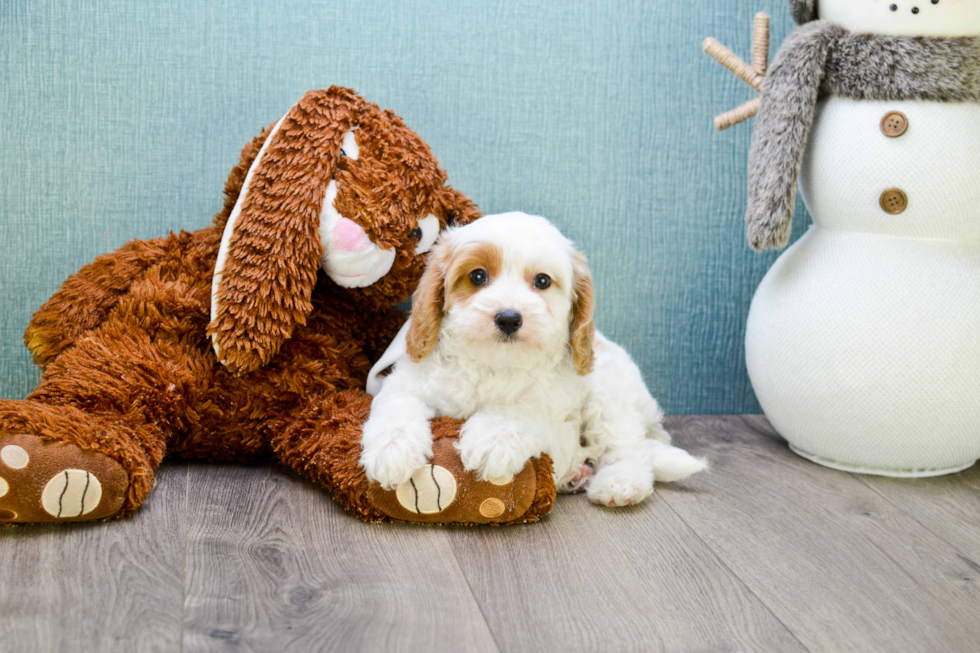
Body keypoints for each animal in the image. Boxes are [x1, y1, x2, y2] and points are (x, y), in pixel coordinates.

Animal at [360, 211, 704, 506]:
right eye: (478, 276)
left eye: (542, 281)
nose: (509, 317)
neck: (493, 363)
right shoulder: (410, 379)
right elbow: (398, 404)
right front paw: (391, 450)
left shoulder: (553, 397)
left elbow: (522, 409)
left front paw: (492, 439)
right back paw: (577, 472)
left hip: (609, 392)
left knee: (627, 447)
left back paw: (620, 483)